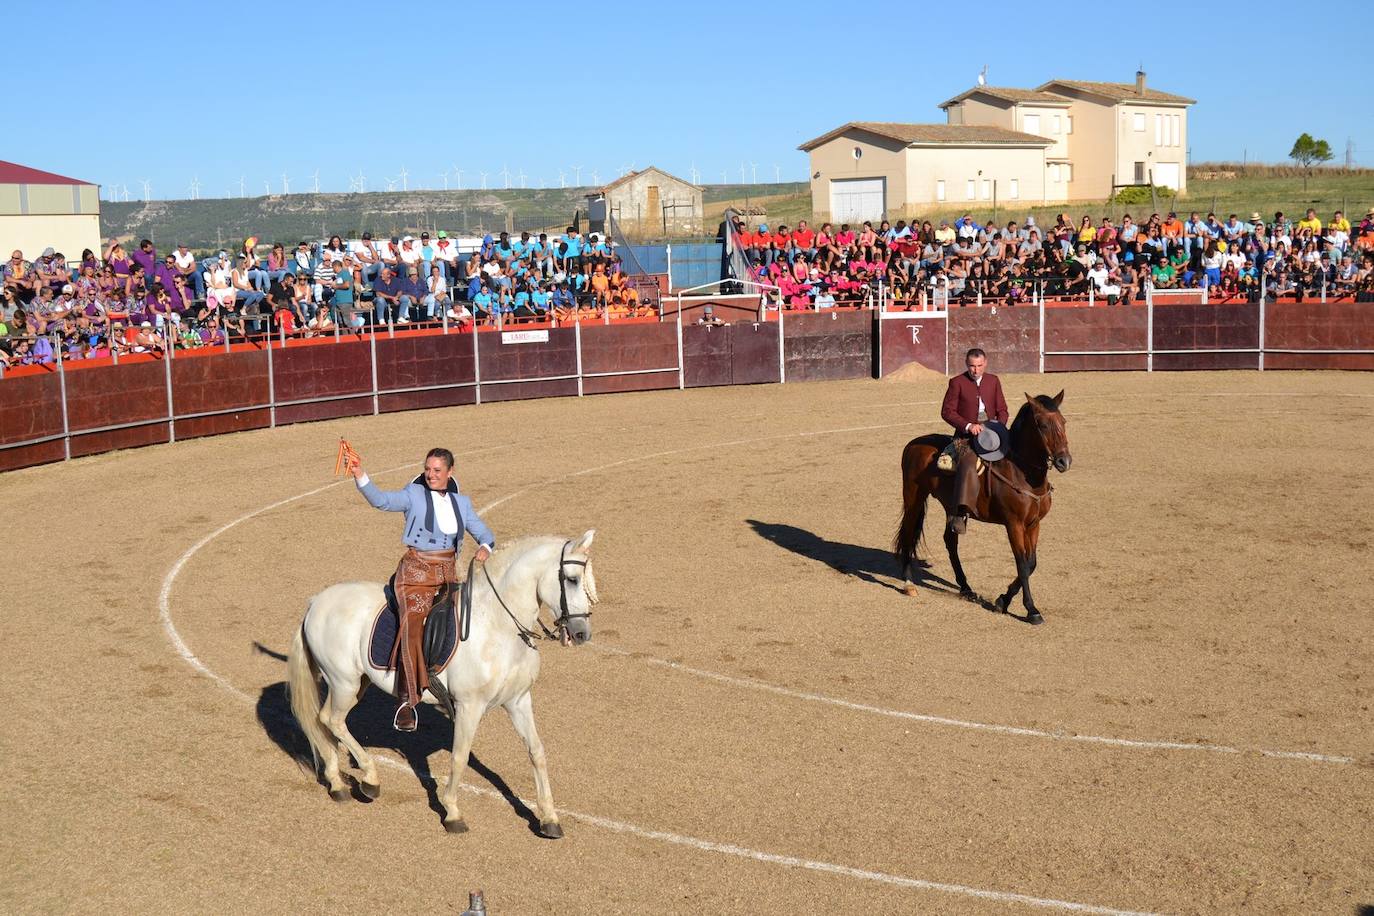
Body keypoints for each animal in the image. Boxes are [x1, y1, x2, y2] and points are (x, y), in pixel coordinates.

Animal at [287, 530, 593, 840]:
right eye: (572, 579)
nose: (582, 633)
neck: (499, 627)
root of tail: (316, 601)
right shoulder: (469, 706)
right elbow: (460, 756)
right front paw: (452, 813)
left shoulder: (518, 701)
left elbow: (537, 752)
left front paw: (549, 819)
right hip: (343, 682)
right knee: (332, 720)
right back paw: (370, 780)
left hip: (355, 684)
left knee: (324, 720)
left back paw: (337, 783)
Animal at [890, 390, 1071, 626]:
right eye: (1042, 425)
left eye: (1063, 421)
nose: (1064, 461)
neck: (1022, 473)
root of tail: (913, 444)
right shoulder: (1013, 524)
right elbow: (1022, 563)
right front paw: (1031, 610)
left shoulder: (1033, 524)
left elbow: (1031, 563)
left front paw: (1002, 600)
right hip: (914, 498)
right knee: (909, 533)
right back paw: (909, 583)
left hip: (951, 507)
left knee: (950, 541)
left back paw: (966, 588)